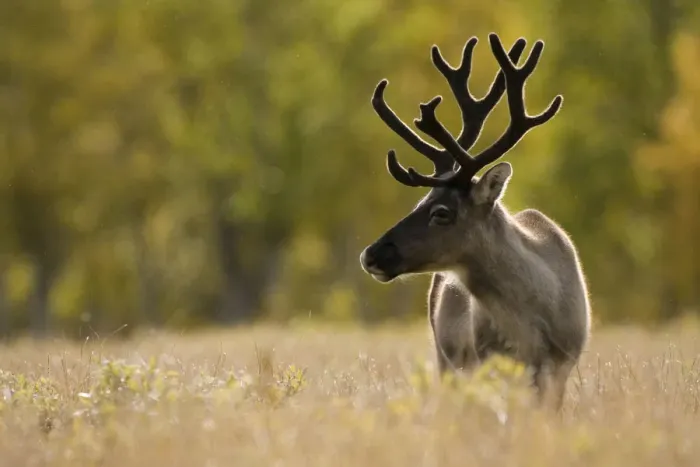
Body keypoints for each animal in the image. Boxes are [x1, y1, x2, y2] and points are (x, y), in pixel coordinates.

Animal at [359, 33, 591, 410]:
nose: (370, 254)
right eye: (421, 201)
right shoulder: (486, 359)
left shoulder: (563, 364)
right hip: (448, 357)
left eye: (441, 212)